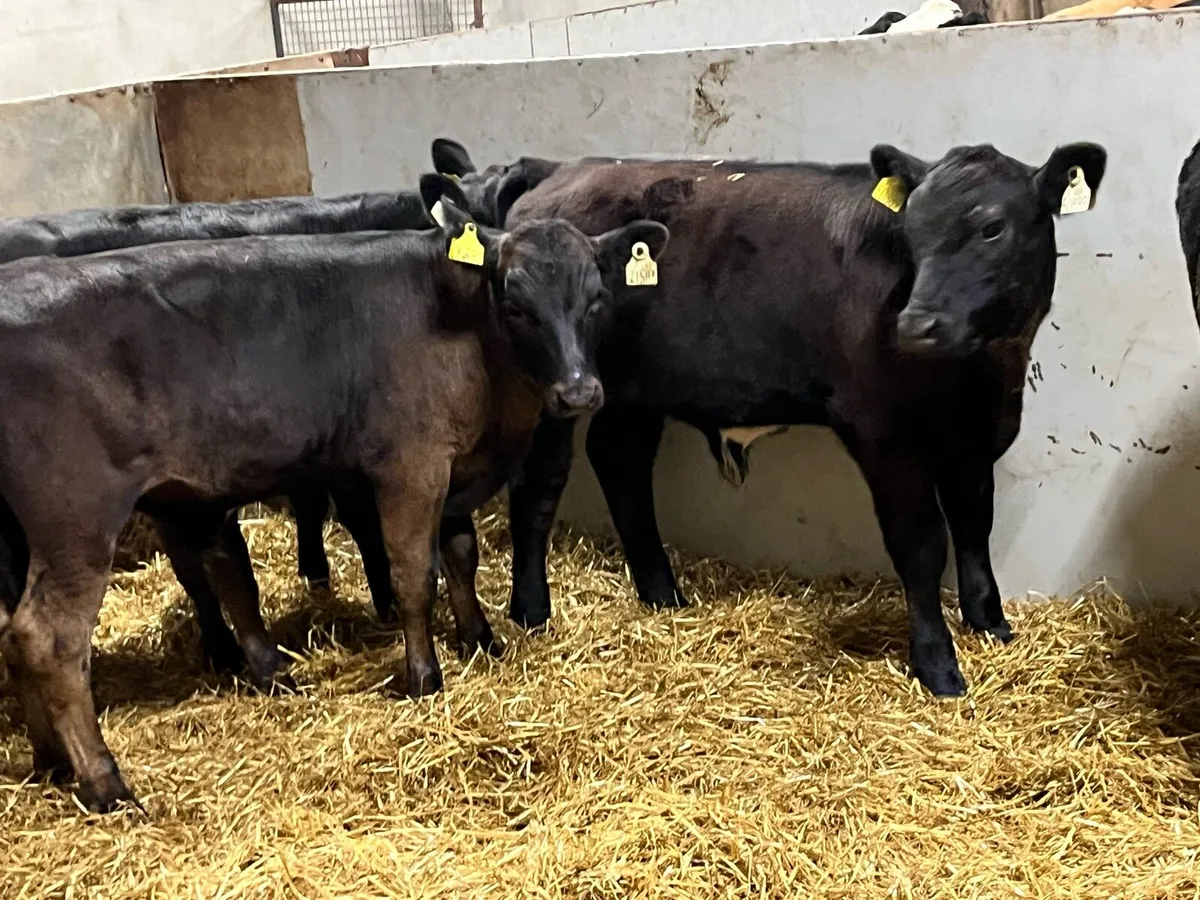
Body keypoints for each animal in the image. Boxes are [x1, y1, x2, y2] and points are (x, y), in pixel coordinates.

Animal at [430, 136, 1106, 701]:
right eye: (912, 232)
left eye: (992, 227)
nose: (916, 324)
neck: (985, 376)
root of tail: (560, 168)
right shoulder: (884, 436)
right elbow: (920, 545)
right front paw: (938, 665)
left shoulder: (973, 439)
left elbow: (973, 527)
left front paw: (992, 625)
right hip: (557, 386)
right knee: (541, 482)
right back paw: (531, 609)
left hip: (635, 386)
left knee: (620, 461)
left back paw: (662, 593)